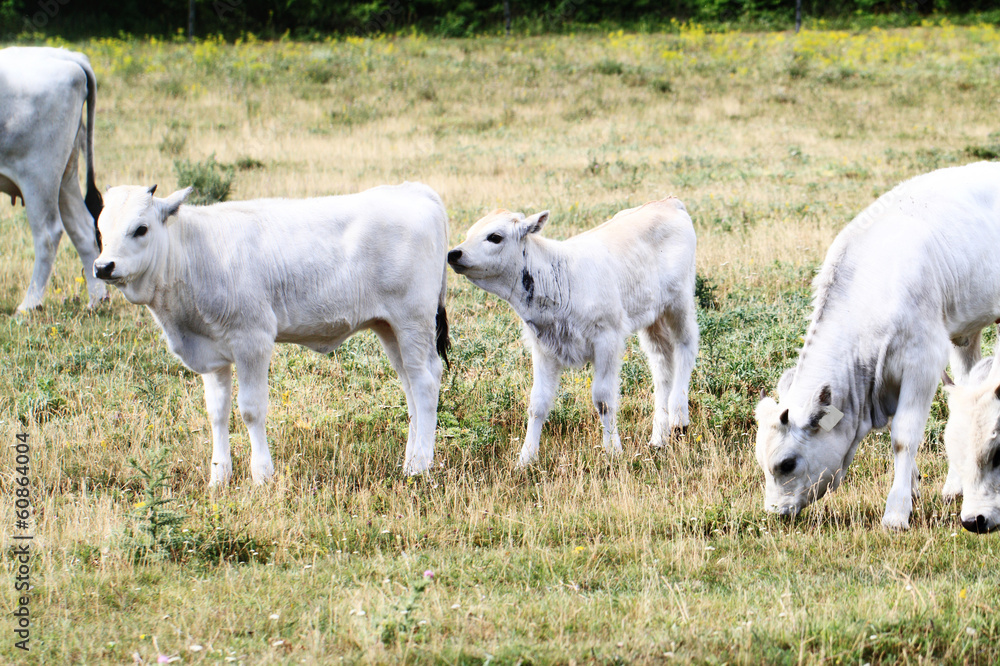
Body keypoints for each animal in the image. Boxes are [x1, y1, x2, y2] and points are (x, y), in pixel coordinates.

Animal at [0, 46, 105, 312]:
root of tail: (68, 56)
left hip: (39, 176)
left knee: (48, 234)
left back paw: (29, 304)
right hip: (65, 179)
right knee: (83, 228)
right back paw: (96, 300)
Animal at [93, 182, 450, 484]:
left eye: (140, 228)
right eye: (100, 227)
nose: (102, 267)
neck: (193, 253)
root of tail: (414, 190)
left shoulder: (253, 341)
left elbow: (251, 410)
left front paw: (262, 474)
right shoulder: (212, 355)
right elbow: (217, 413)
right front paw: (219, 476)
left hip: (412, 321)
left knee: (425, 381)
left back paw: (420, 464)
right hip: (388, 327)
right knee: (410, 385)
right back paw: (410, 459)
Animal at [447, 198, 698, 466]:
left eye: (495, 237)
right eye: (470, 232)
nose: (454, 253)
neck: (559, 277)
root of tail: (667, 202)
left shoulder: (607, 339)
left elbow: (603, 399)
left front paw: (613, 451)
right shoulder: (544, 347)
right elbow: (538, 403)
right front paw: (525, 459)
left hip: (679, 302)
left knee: (686, 346)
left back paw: (679, 417)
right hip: (652, 318)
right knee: (662, 366)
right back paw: (659, 437)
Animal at [755, 161, 1000, 530]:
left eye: (787, 463)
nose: (775, 512)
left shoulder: (923, 362)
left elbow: (903, 436)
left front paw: (896, 511)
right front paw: (912, 486)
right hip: (966, 333)